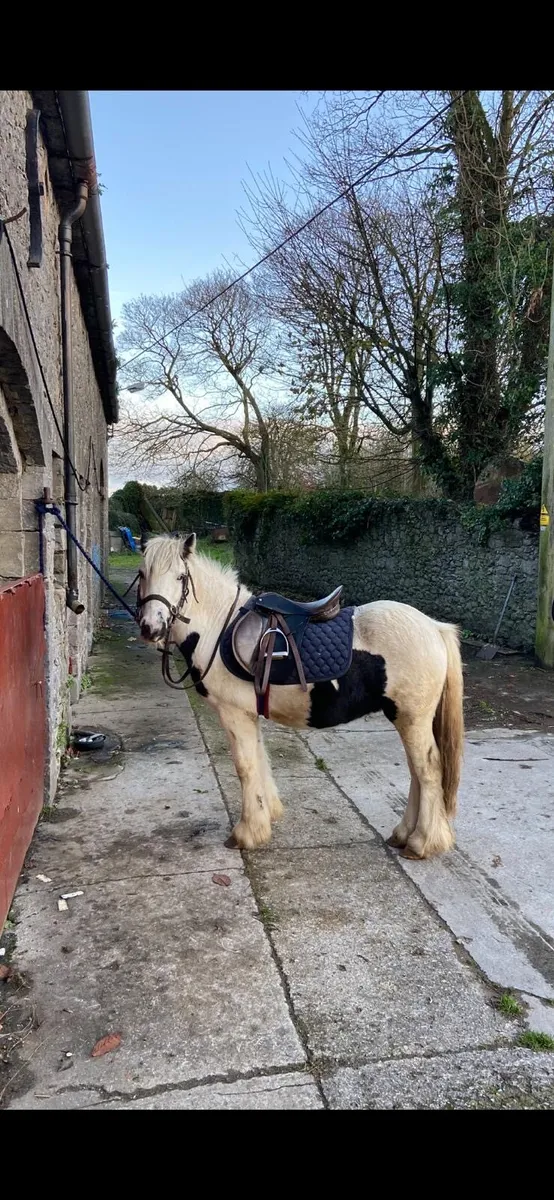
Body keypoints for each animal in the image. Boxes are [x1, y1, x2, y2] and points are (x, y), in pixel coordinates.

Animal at [136, 534, 464, 860]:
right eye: (143, 574)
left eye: (180, 577)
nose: (151, 628)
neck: (218, 628)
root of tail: (434, 627)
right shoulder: (249, 714)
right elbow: (259, 760)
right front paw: (266, 816)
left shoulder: (234, 714)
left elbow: (245, 768)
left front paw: (247, 834)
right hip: (407, 719)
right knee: (416, 772)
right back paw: (404, 834)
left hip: (411, 718)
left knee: (428, 771)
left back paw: (422, 842)